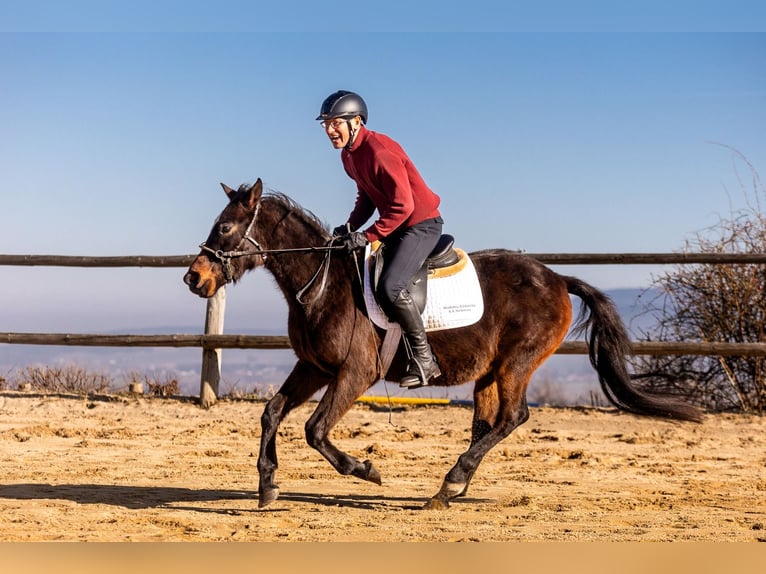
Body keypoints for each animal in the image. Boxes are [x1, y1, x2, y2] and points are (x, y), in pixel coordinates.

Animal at [184, 181, 704, 512]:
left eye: (225, 228)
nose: (194, 278)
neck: (322, 283)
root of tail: (558, 279)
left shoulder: (354, 374)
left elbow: (314, 430)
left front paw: (365, 469)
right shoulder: (313, 367)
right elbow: (272, 412)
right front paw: (267, 484)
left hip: (517, 363)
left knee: (513, 417)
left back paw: (452, 482)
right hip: (490, 371)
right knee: (488, 424)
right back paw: (450, 488)